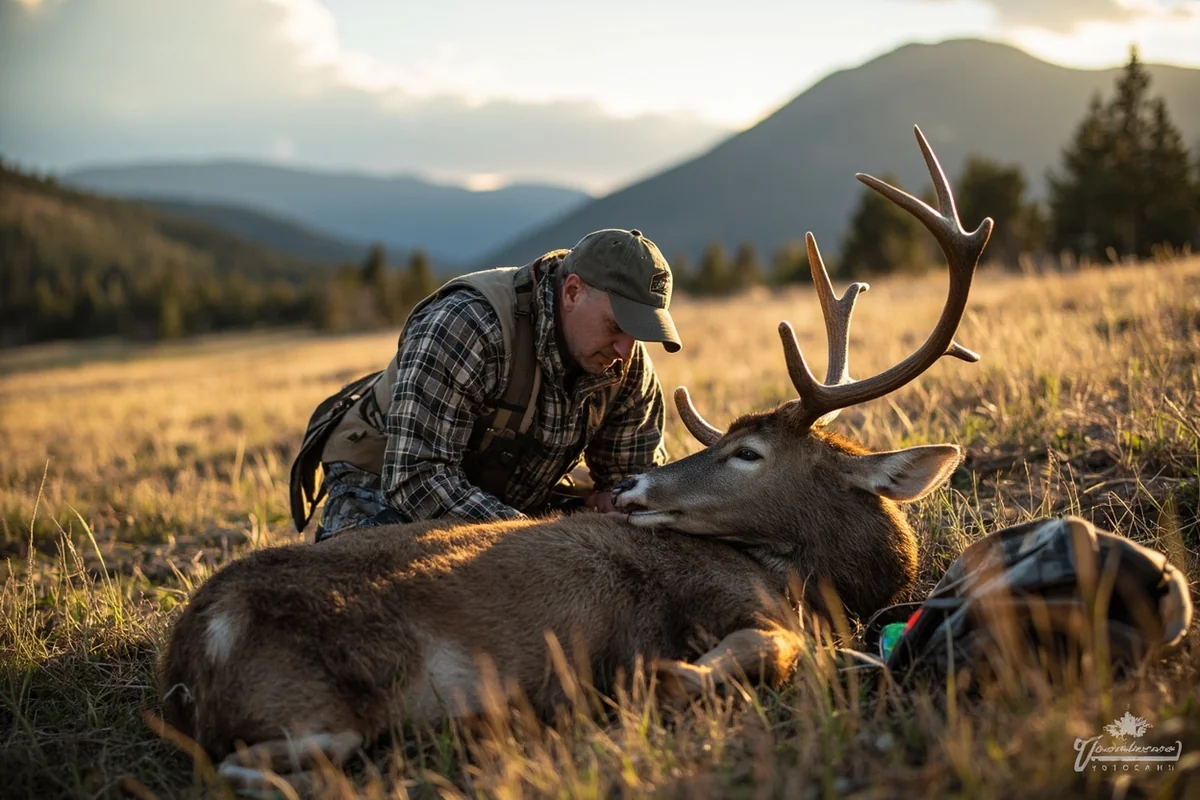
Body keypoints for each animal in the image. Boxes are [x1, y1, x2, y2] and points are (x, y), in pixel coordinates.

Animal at [159, 127, 993, 794]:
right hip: (337, 684)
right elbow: (775, 649)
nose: (631, 486)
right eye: (729, 444)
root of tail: (191, 656)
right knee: (264, 760)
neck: (805, 581)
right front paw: (662, 679)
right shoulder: (735, 605)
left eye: (749, 452)